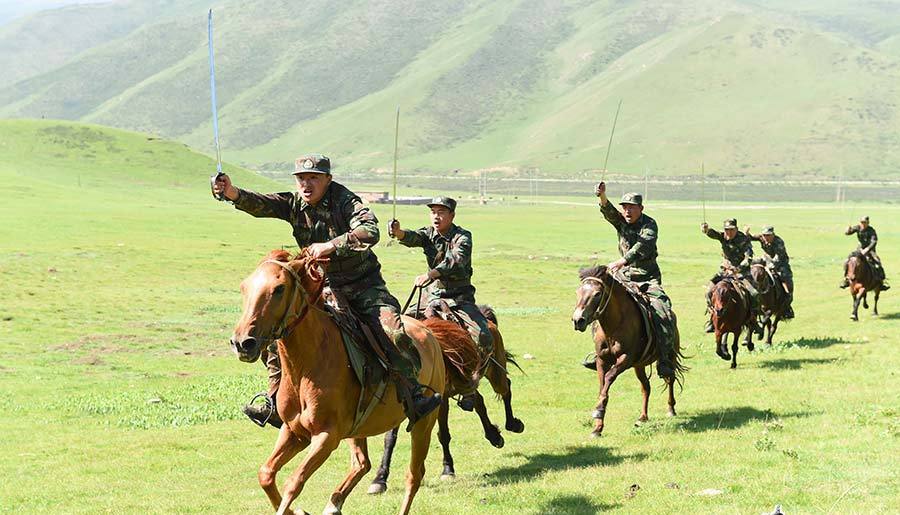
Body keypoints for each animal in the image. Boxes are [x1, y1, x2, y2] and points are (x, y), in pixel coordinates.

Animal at [230, 251, 444, 515]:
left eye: (279, 289)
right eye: (244, 287)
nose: (242, 343)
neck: (306, 367)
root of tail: (430, 334)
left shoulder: (326, 436)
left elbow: (294, 482)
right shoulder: (293, 432)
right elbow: (266, 474)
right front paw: (299, 511)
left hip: (424, 423)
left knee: (413, 475)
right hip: (358, 429)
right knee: (362, 463)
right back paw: (334, 504)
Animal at [366, 308, 524, 494]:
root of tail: (489, 321)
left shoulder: (440, 401)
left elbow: (443, 435)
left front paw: (448, 469)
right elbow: (390, 439)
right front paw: (380, 478)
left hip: (495, 371)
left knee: (506, 388)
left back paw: (512, 424)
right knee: (479, 401)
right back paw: (493, 435)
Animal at [568, 266, 684, 440]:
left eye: (597, 294)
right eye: (578, 292)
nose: (578, 320)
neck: (613, 326)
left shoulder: (625, 359)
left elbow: (609, 379)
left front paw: (599, 411)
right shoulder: (602, 360)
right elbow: (602, 386)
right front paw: (597, 427)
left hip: (670, 356)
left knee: (670, 378)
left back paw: (671, 409)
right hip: (639, 366)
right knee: (646, 387)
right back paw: (643, 417)